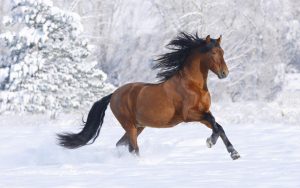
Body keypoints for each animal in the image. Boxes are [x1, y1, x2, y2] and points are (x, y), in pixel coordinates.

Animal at [58, 32, 241, 160]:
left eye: (222, 51)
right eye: (213, 53)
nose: (224, 73)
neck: (192, 85)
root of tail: (114, 94)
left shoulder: (203, 113)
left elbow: (218, 126)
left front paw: (234, 153)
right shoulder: (189, 115)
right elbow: (214, 123)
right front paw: (210, 142)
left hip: (139, 126)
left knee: (121, 144)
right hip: (130, 125)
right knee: (133, 148)